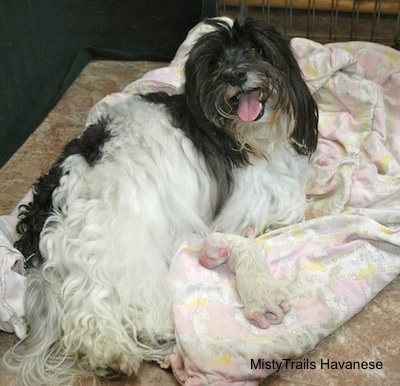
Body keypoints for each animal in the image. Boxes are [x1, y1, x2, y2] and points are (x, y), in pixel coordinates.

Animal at [2, 16, 316, 384]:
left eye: (255, 49)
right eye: (215, 64)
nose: (236, 74)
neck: (247, 136)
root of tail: (45, 205)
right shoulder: (246, 206)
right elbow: (264, 225)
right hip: (120, 233)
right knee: (91, 300)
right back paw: (117, 349)